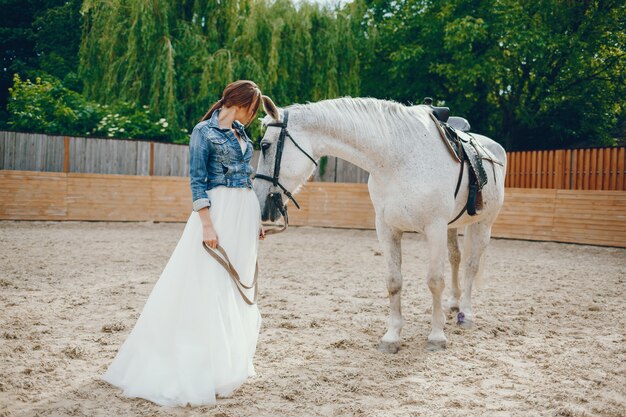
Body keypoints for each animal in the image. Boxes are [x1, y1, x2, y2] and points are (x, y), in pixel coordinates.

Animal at [251, 95, 504, 352]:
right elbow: (394, 282)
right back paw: (453, 304)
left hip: (482, 225)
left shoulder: (435, 228)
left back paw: (466, 313)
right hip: (452, 227)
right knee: (456, 258)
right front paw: (392, 337)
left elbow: (434, 281)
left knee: (471, 266)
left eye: (265, 145)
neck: (398, 158)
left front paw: (436, 336)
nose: (259, 202)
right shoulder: (387, 228)